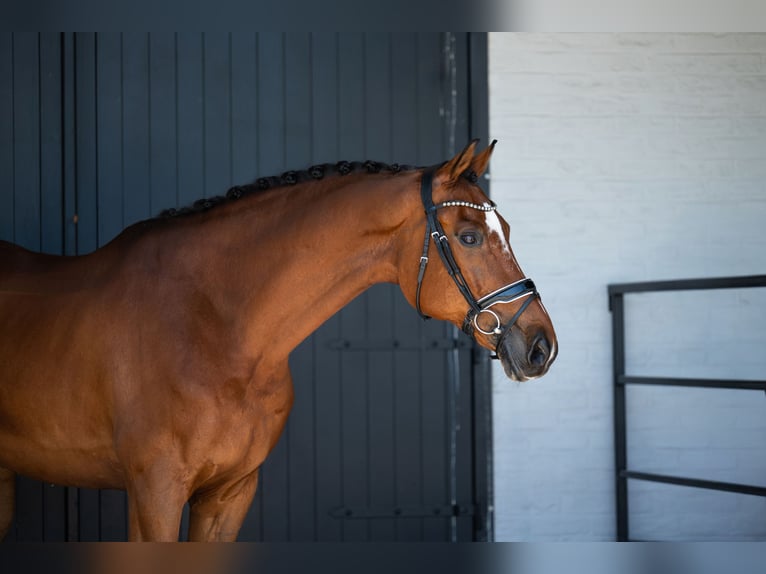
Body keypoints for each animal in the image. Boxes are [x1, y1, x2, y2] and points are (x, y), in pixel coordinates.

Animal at [0, 140, 557, 541]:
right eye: (469, 236)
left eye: (506, 229)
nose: (540, 346)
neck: (219, 330)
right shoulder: (154, 493)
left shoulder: (228, 496)